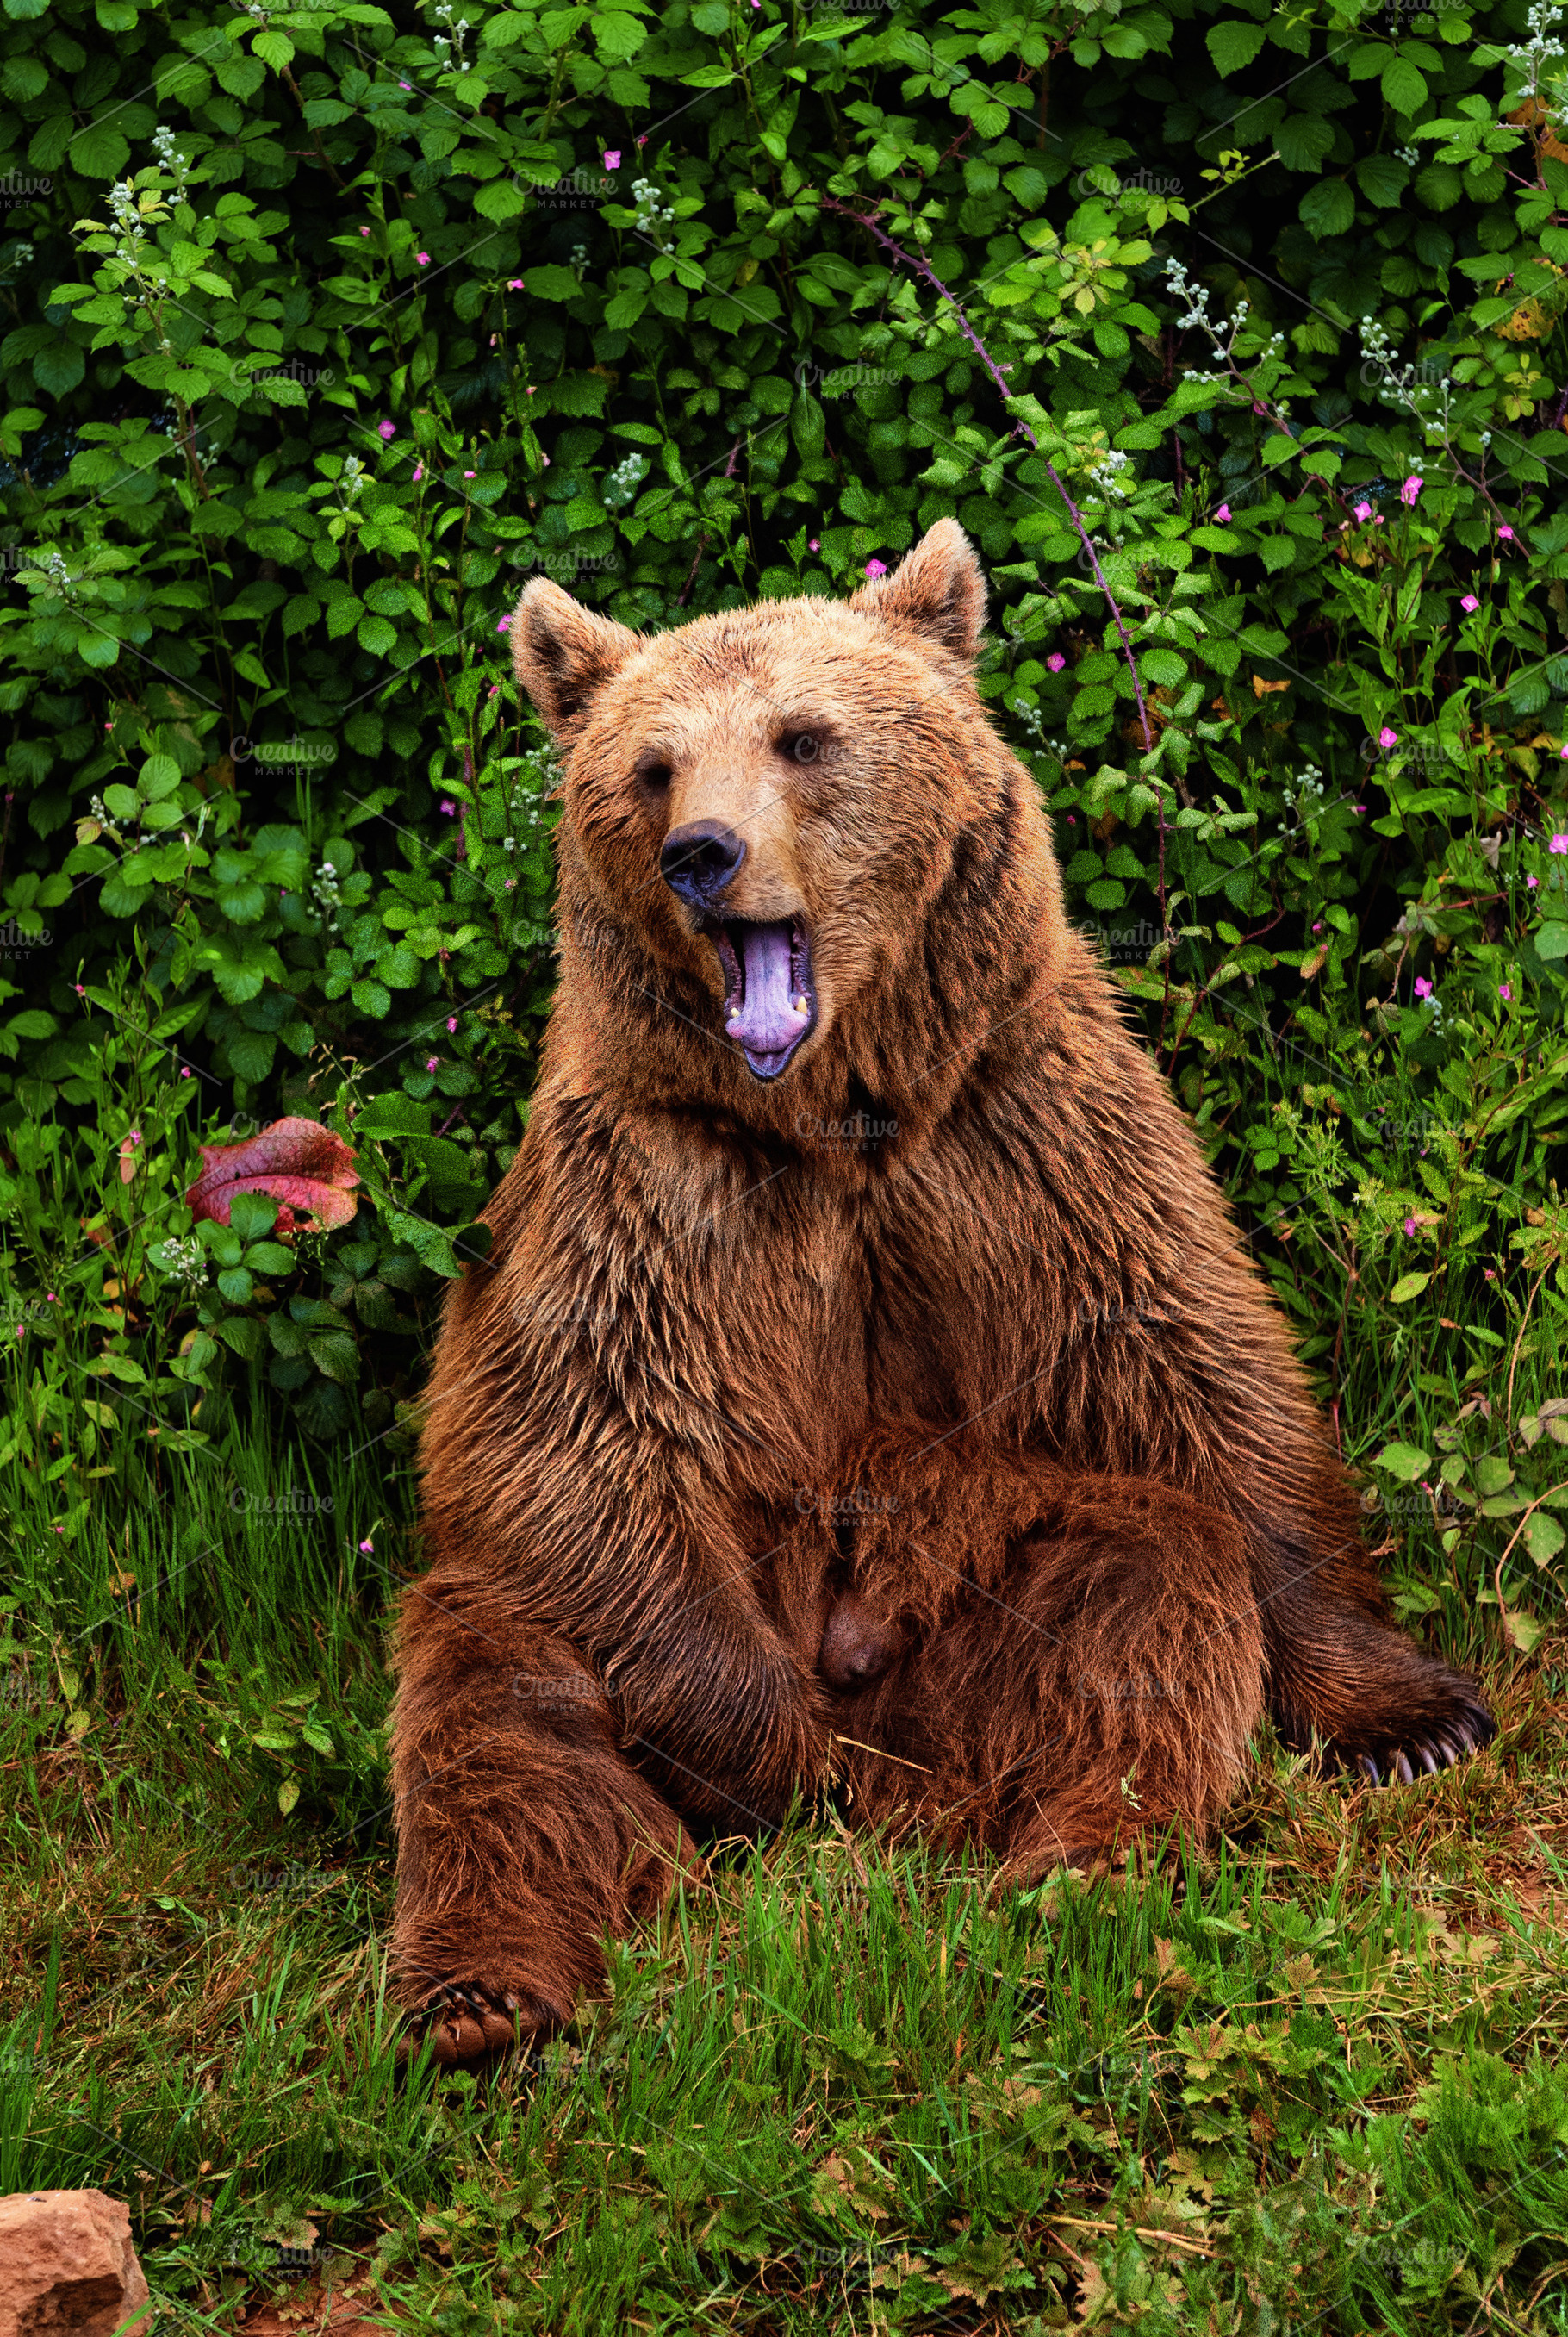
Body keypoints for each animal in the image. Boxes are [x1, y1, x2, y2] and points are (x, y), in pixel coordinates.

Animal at [389, 519, 1494, 2065]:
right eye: (653, 763)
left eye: (802, 736)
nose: (700, 854)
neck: (839, 1113)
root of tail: (909, 1788)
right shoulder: (644, 1190)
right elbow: (573, 1438)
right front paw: (761, 1754)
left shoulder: (1019, 1133)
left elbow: (1192, 1361)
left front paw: (1414, 1717)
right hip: (570, 1624)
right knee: (497, 1703)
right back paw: (490, 1992)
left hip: (979, 1611)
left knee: (1148, 1591)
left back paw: (1085, 1862)